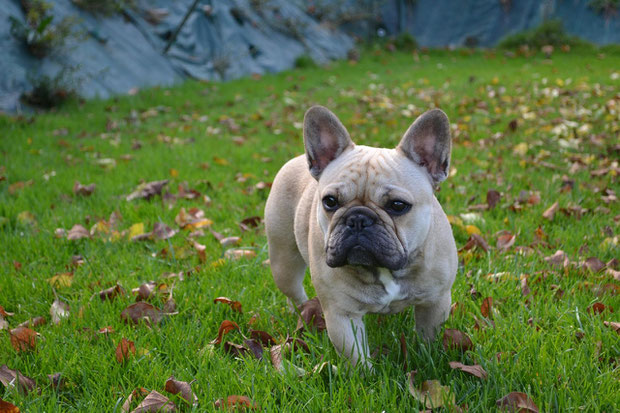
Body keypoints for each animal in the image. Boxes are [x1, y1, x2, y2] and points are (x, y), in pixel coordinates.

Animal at [264, 104, 458, 366]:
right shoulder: (342, 314)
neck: (384, 270)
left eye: (398, 205)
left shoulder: (435, 301)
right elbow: (356, 358)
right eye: (330, 201)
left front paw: (426, 360)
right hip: (284, 261)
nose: (358, 219)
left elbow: (428, 338)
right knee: (293, 291)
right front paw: (367, 374)